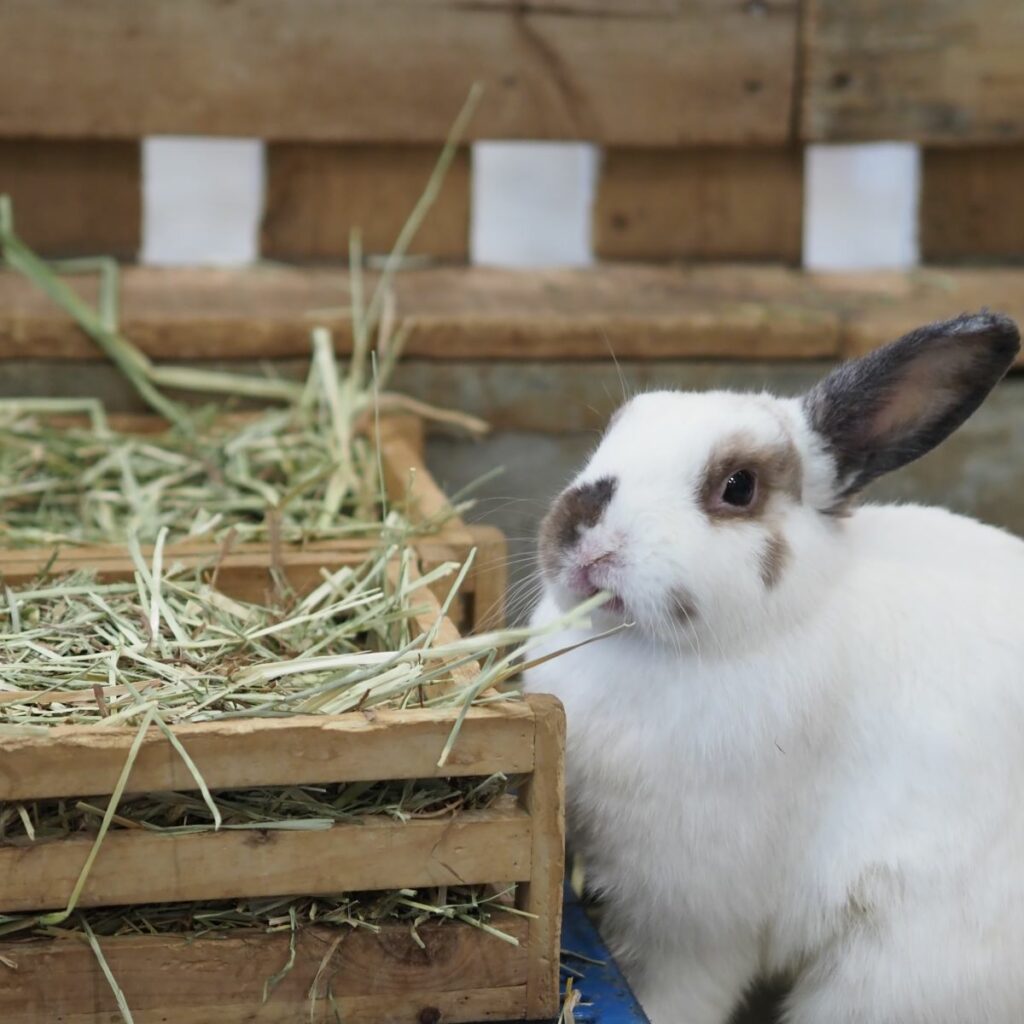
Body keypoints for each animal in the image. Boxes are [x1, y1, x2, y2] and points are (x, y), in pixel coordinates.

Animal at [528, 311, 1024, 1024]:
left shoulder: (695, 917)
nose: (583, 536)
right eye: (609, 436)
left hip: (898, 976)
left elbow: (675, 992)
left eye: (738, 486)